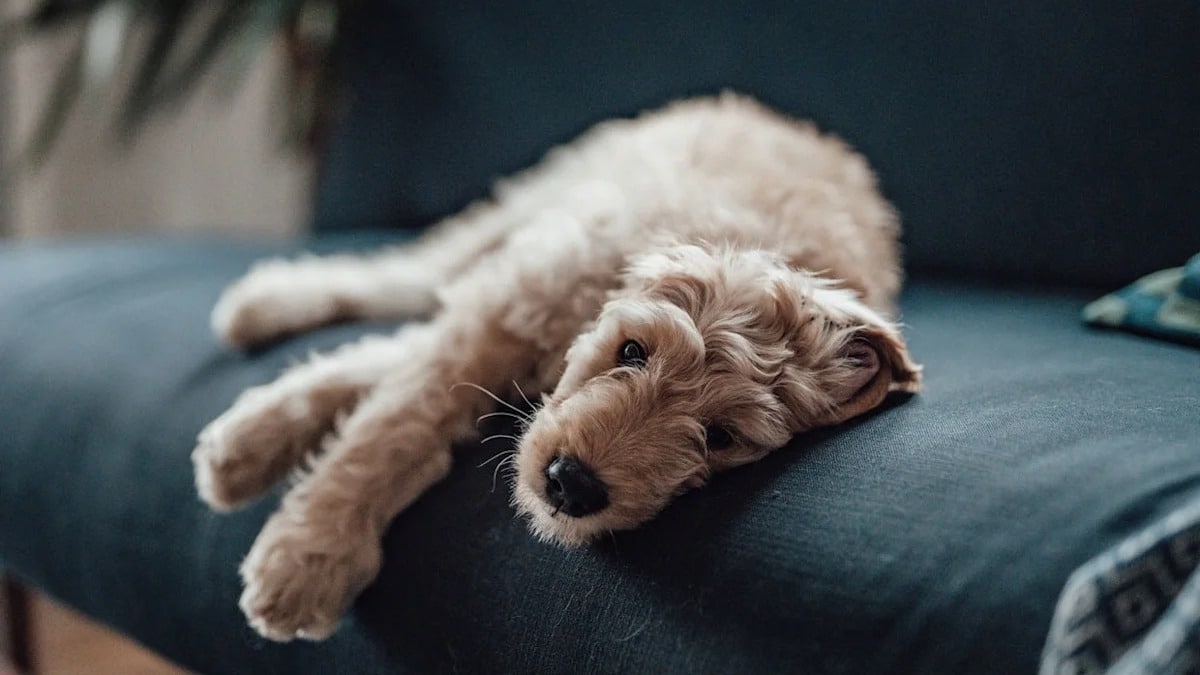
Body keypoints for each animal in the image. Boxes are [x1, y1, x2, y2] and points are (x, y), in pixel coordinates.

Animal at [192, 93, 921, 634]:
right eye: (632, 350)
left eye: (721, 437)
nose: (571, 484)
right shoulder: (517, 299)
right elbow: (396, 421)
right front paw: (310, 554)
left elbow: (397, 370)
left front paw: (251, 447)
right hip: (539, 199)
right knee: (418, 272)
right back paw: (265, 303)